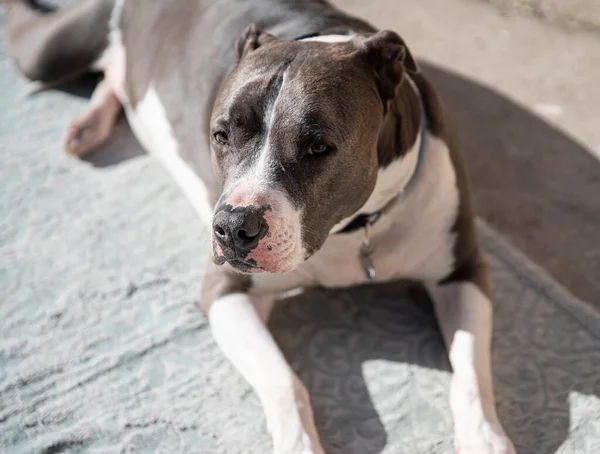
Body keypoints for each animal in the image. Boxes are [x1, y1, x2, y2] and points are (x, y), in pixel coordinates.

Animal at [3, 0, 516, 452]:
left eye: (317, 147)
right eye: (220, 135)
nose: (233, 228)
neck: (352, 230)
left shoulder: (464, 271)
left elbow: (471, 372)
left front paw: (486, 440)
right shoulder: (226, 289)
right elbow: (286, 383)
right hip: (45, 55)